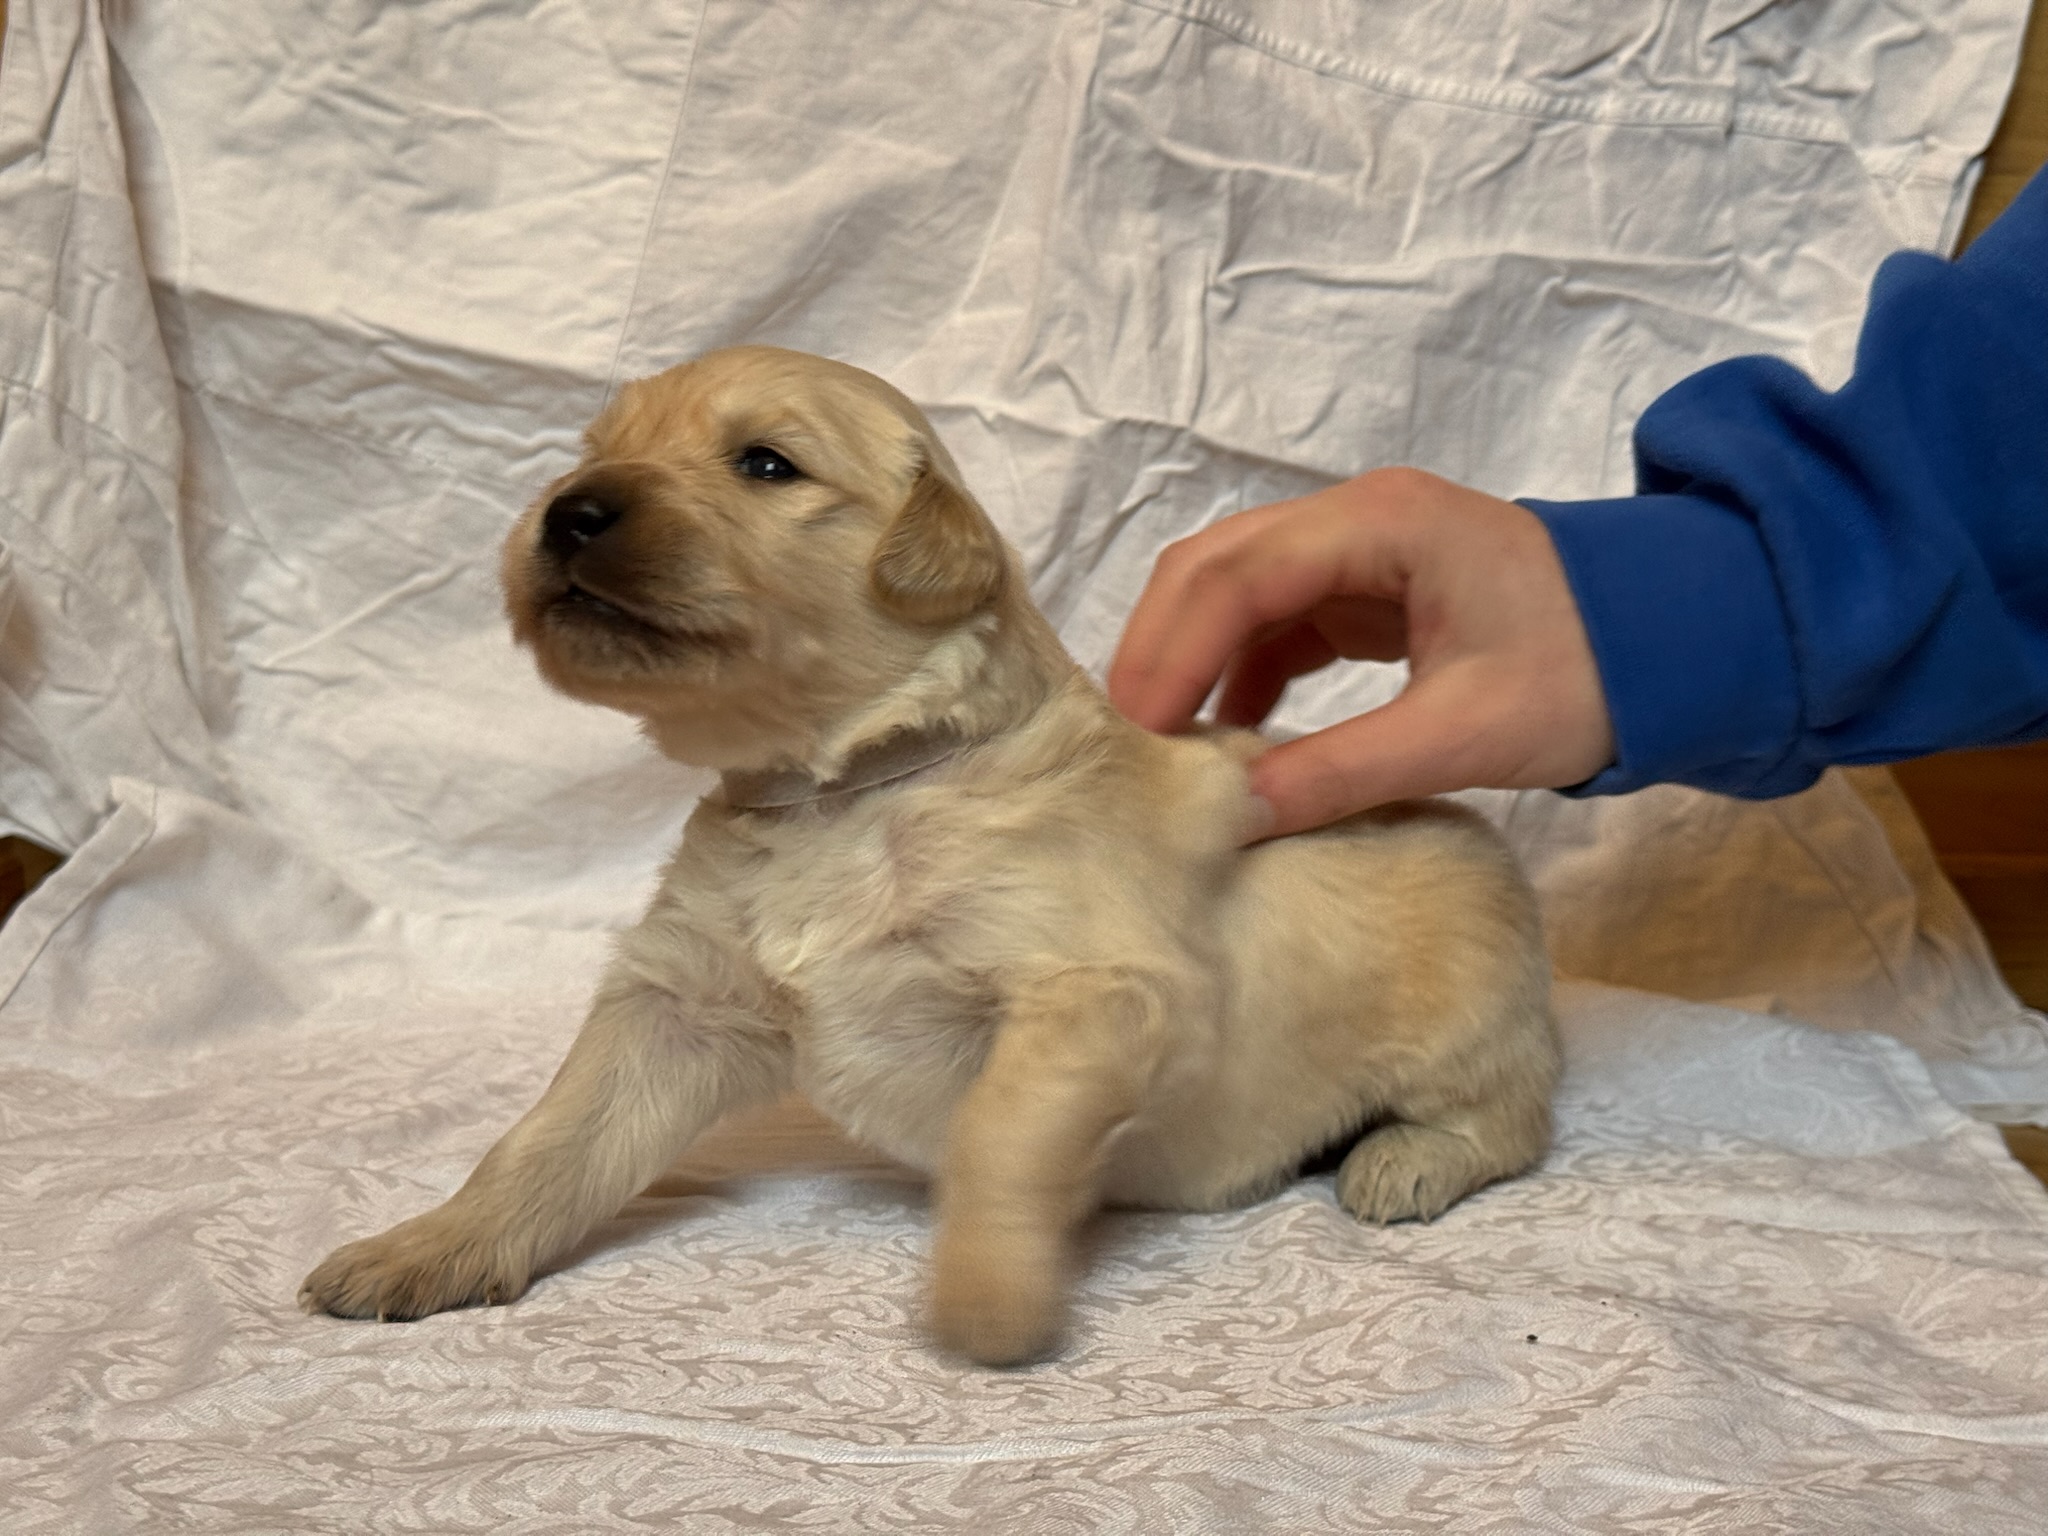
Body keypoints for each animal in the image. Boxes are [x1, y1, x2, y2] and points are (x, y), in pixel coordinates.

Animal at [299, 346, 1559, 1365]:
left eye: (764, 464)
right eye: (595, 456)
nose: (567, 512)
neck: (833, 794)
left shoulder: (1095, 988)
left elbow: (1002, 1133)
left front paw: (987, 1298)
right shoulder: (676, 1004)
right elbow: (546, 1140)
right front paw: (425, 1248)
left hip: (1463, 1017)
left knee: (1511, 1119)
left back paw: (1401, 1162)